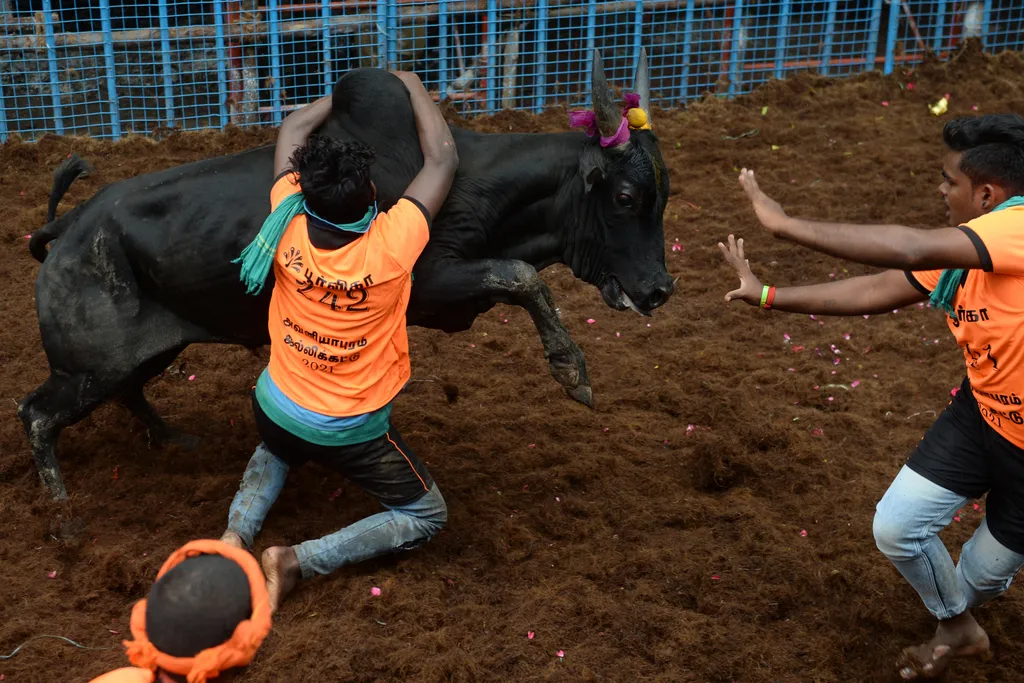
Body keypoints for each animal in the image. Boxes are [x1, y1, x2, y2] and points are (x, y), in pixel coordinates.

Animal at [19, 50, 675, 499]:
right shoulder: (429, 284)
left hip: (141, 354)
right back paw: (64, 516)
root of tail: (68, 227)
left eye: (662, 194)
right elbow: (520, 275)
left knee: (128, 393)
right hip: (88, 367)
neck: (475, 182)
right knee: (38, 414)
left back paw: (175, 442)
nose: (659, 290)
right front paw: (572, 371)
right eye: (624, 196)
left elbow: (518, 276)